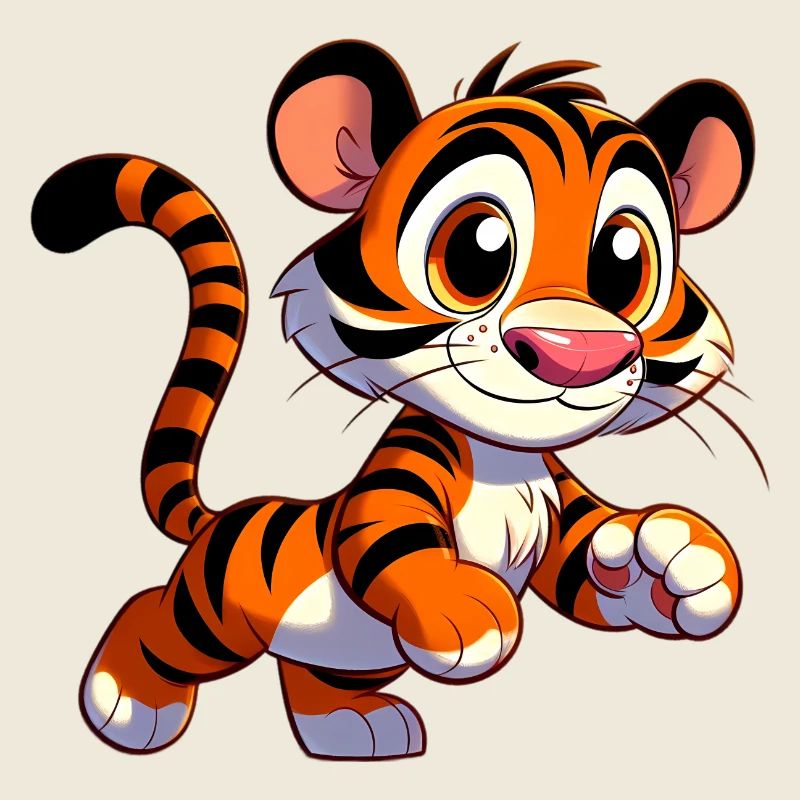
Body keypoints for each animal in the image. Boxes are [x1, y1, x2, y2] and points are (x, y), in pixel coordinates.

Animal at [31, 40, 755, 760]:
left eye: (624, 260)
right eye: (477, 248)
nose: (576, 352)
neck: (505, 462)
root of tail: (222, 517)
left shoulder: (559, 507)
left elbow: (592, 560)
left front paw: (678, 563)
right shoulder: (403, 473)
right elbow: (387, 535)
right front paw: (465, 609)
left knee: (309, 678)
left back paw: (356, 726)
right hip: (213, 614)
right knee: (153, 615)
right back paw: (126, 703)